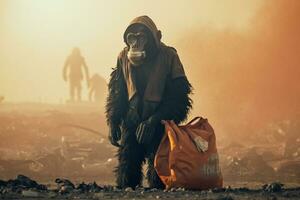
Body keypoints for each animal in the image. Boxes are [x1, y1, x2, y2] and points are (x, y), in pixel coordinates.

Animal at [105, 15, 192, 189]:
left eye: (142, 37)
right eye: (132, 37)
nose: (135, 44)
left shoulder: (175, 61)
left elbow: (177, 96)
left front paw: (148, 124)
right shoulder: (120, 59)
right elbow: (118, 91)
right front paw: (113, 127)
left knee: (157, 152)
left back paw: (157, 183)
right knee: (129, 151)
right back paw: (127, 183)